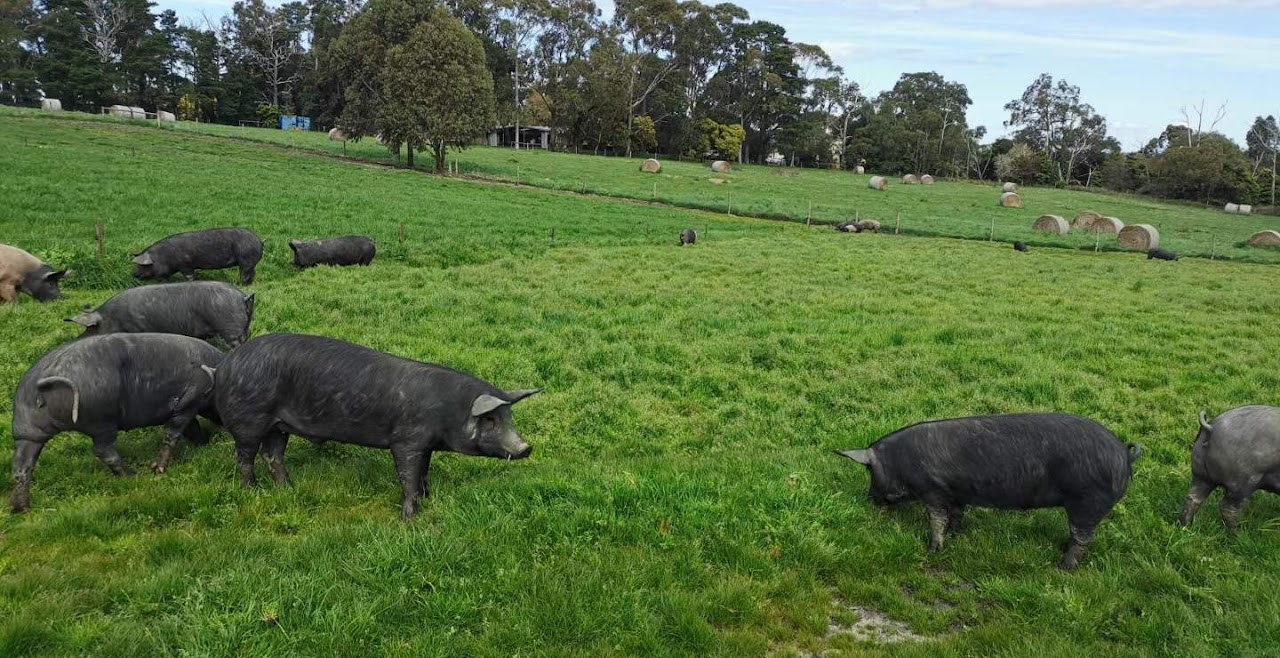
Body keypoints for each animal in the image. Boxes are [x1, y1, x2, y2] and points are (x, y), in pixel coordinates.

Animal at [10, 333, 223, 512]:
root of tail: (45, 379)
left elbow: (192, 428)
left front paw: (202, 444)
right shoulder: (190, 400)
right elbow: (176, 431)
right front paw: (158, 469)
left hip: (26, 428)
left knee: (22, 463)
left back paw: (20, 508)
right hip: (100, 417)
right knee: (103, 450)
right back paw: (133, 475)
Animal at [67, 281, 255, 348]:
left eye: (91, 328)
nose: (75, 340)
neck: (113, 318)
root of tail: (243, 297)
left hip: (230, 328)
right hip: (244, 327)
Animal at [132, 228, 264, 284]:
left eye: (143, 265)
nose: (133, 274)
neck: (165, 257)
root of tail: (260, 241)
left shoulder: (185, 265)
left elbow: (189, 276)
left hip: (246, 260)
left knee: (245, 274)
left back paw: (240, 285)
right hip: (250, 263)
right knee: (253, 273)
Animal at [214, 333, 540, 519]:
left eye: (509, 417)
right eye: (490, 419)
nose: (526, 447)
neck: (449, 410)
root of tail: (227, 364)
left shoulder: (425, 445)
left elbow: (424, 473)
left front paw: (428, 498)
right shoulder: (406, 441)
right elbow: (408, 477)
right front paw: (409, 518)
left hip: (278, 425)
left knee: (273, 455)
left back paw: (288, 489)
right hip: (249, 419)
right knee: (244, 456)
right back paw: (253, 492)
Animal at [835, 413, 1141, 570]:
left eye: (869, 471)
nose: (868, 500)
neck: (901, 461)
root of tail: (1123, 454)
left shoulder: (934, 490)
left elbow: (936, 520)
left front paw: (933, 550)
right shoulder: (956, 493)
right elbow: (956, 516)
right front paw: (956, 536)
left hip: (1088, 502)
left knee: (1083, 539)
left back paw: (1062, 567)